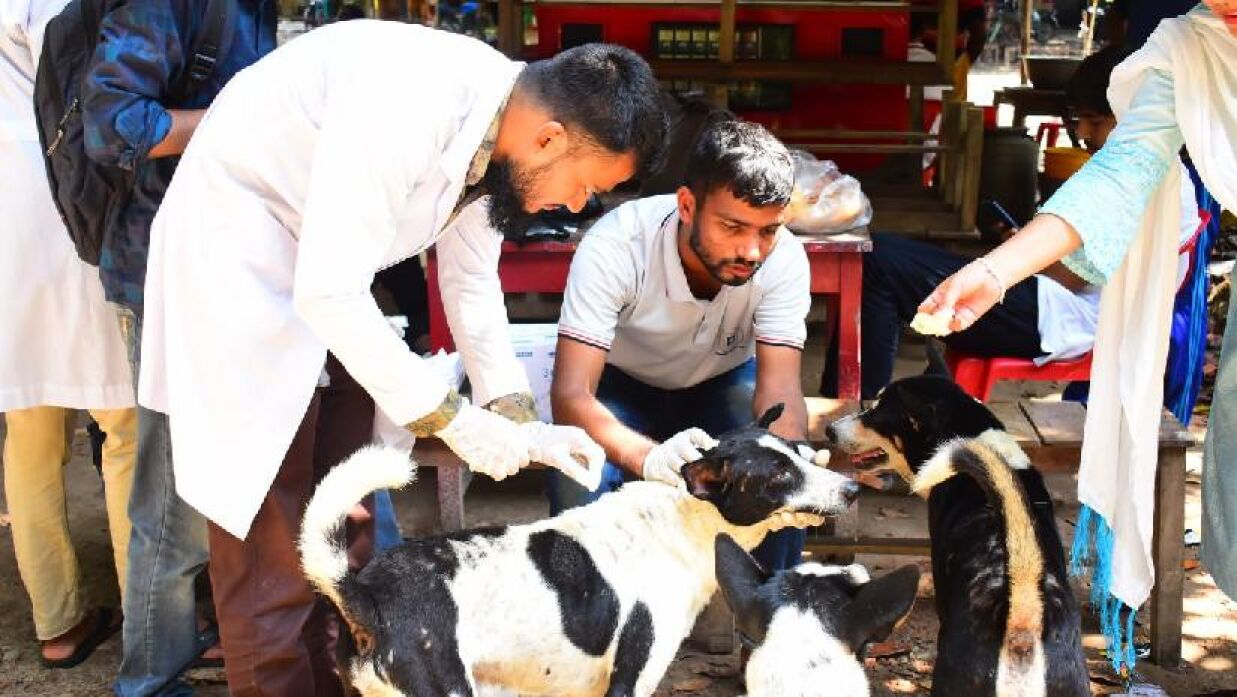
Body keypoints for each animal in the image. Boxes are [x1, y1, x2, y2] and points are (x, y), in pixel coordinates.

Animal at [299, 403, 860, 697]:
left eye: (804, 454)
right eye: (779, 475)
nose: (853, 489)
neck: (680, 521)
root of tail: (366, 591)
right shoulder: (630, 681)